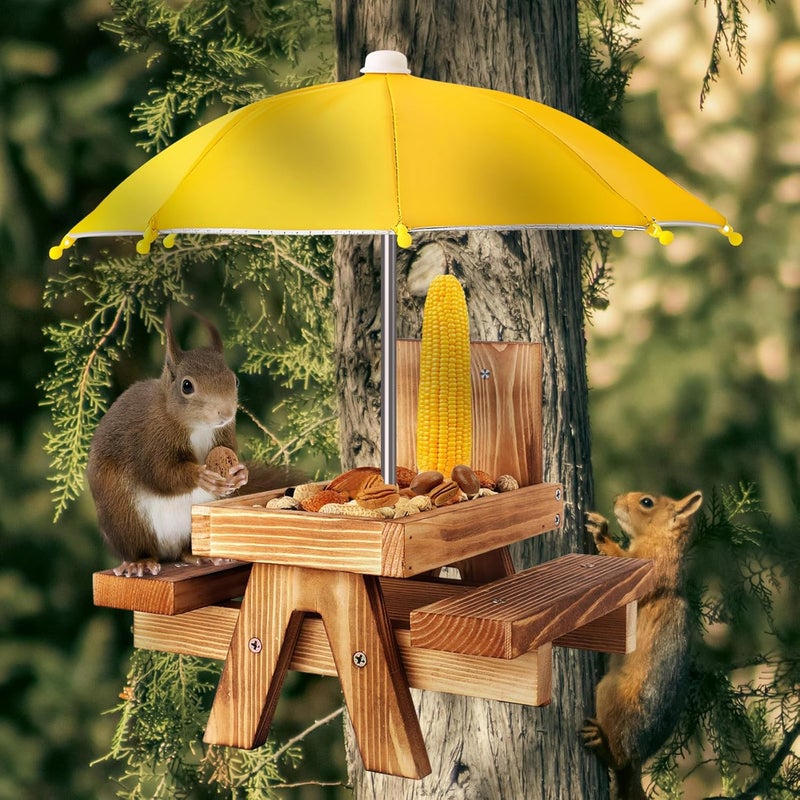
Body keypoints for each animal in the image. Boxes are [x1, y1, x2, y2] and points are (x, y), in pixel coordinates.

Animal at [87, 310, 249, 578]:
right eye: (187, 385)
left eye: (235, 380)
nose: (226, 413)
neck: (198, 427)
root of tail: (167, 549)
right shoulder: (151, 438)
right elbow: (161, 473)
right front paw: (200, 475)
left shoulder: (224, 434)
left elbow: (231, 453)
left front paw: (240, 473)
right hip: (124, 516)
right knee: (140, 547)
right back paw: (139, 562)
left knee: (185, 550)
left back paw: (199, 556)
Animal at [582, 490, 703, 800]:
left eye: (647, 502)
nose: (615, 499)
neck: (660, 543)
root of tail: (638, 760)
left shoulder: (649, 570)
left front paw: (602, 532)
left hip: (612, 695)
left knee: (619, 758)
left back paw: (602, 744)